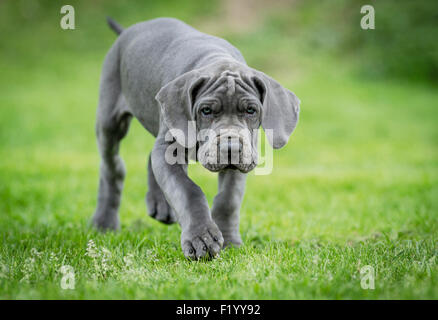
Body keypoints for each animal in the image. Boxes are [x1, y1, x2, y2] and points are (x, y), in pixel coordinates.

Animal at [93, 17, 300, 260]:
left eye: (251, 110)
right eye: (206, 111)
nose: (231, 147)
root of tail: (127, 31)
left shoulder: (243, 158)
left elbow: (228, 199)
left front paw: (230, 240)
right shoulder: (169, 150)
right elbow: (187, 190)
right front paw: (201, 237)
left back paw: (160, 204)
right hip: (109, 121)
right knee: (112, 167)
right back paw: (104, 223)